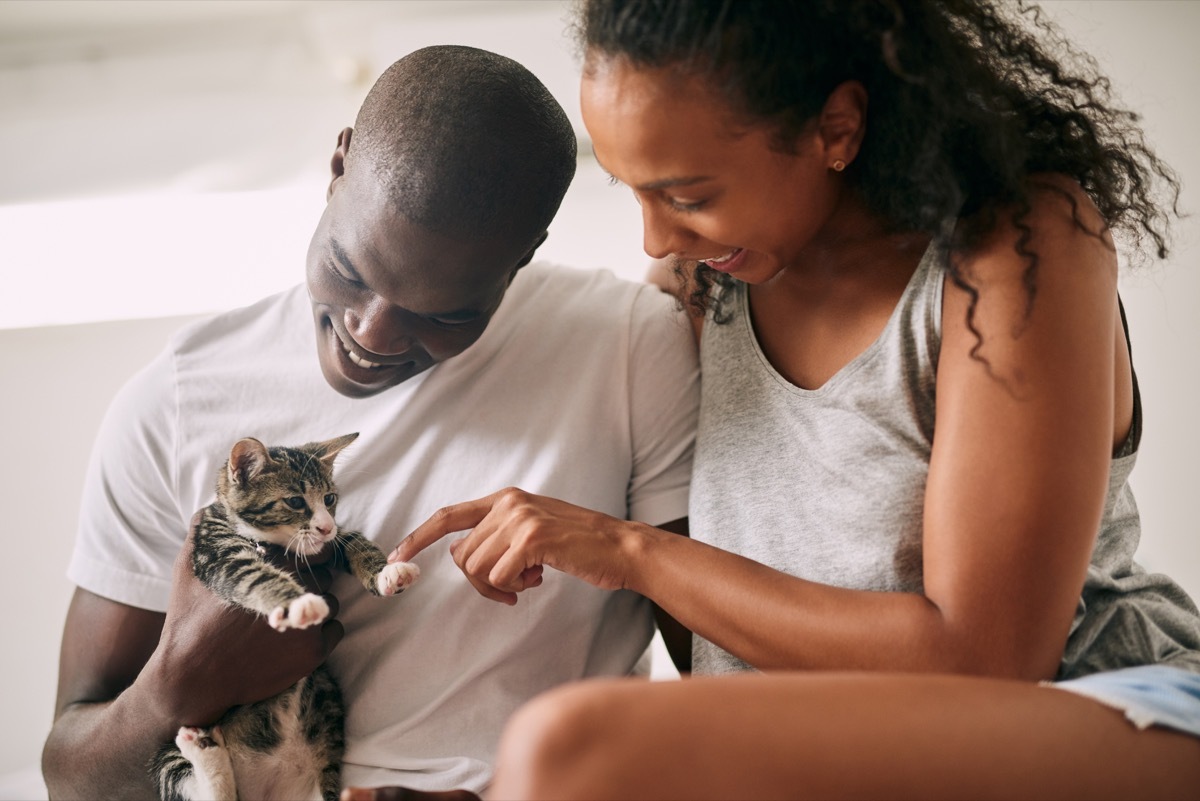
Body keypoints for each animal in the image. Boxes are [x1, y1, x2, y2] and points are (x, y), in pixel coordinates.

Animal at [152, 431, 420, 801]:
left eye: (330, 498)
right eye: (294, 501)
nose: (325, 528)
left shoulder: (329, 544)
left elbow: (354, 542)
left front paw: (387, 574)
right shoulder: (214, 550)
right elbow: (251, 574)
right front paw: (297, 603)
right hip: (167, 750)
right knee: (211, 792)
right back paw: (203, 751)